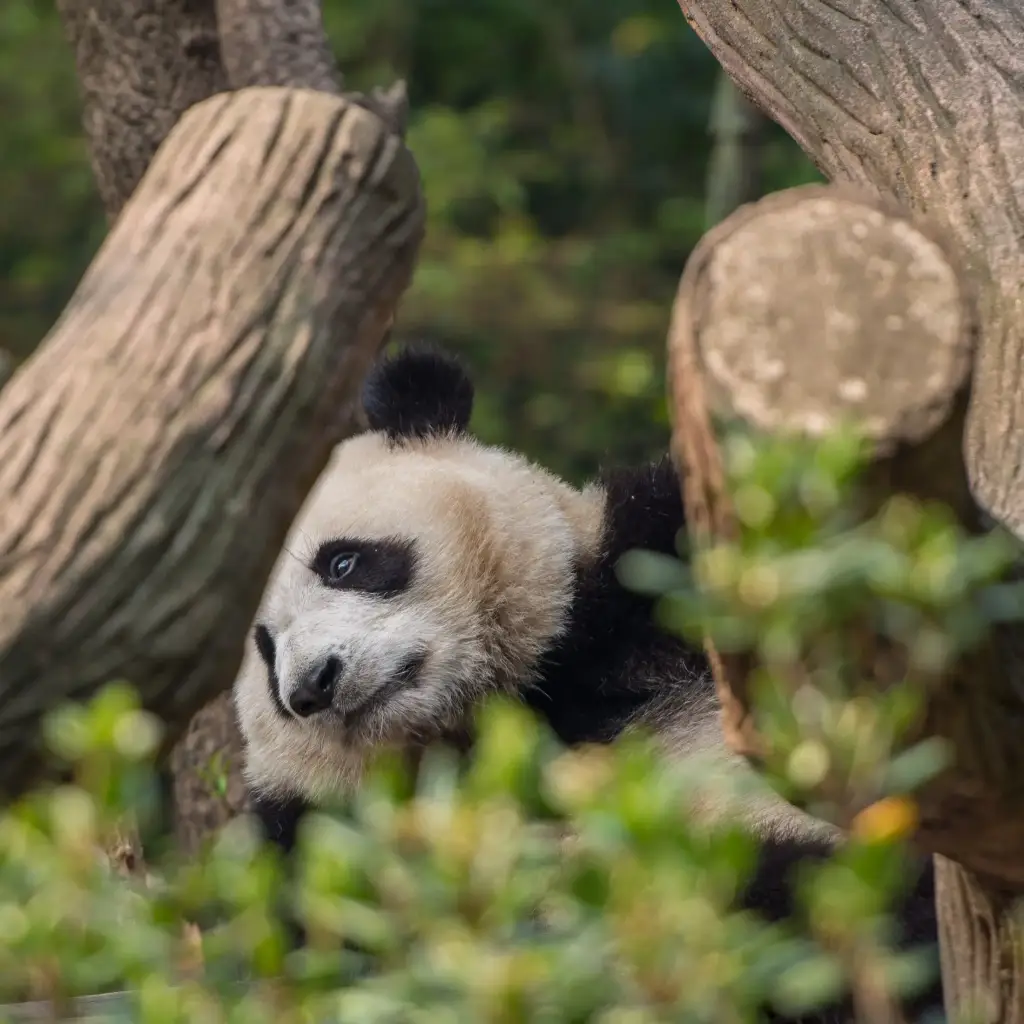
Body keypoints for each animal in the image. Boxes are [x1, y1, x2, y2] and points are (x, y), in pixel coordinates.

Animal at [233, 345, 941, 1023]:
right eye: (266, 651)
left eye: (343, 562)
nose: (313, 687)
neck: (515, 711)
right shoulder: (314, 841)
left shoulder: (644, 573)